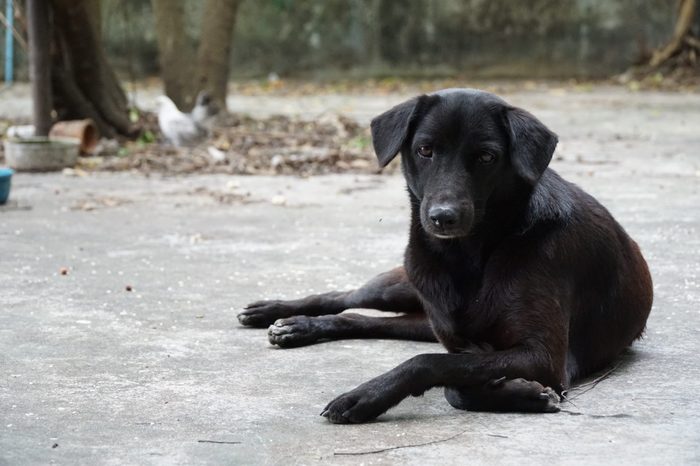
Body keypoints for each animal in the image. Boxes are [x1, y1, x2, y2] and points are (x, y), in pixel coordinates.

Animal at [238, 89, 652, 424]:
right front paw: (521, 392)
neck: (468, 254)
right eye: (425, 150)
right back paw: (281, 316)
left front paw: (364, 396)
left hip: (421, 316)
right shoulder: (471, 345)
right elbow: (450, 371)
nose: (442, 217)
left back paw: (297, 326)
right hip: (402, 287)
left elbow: (436, 366)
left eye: (486, 156)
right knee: (349, 298)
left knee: (365, 319)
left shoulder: (543, 355)